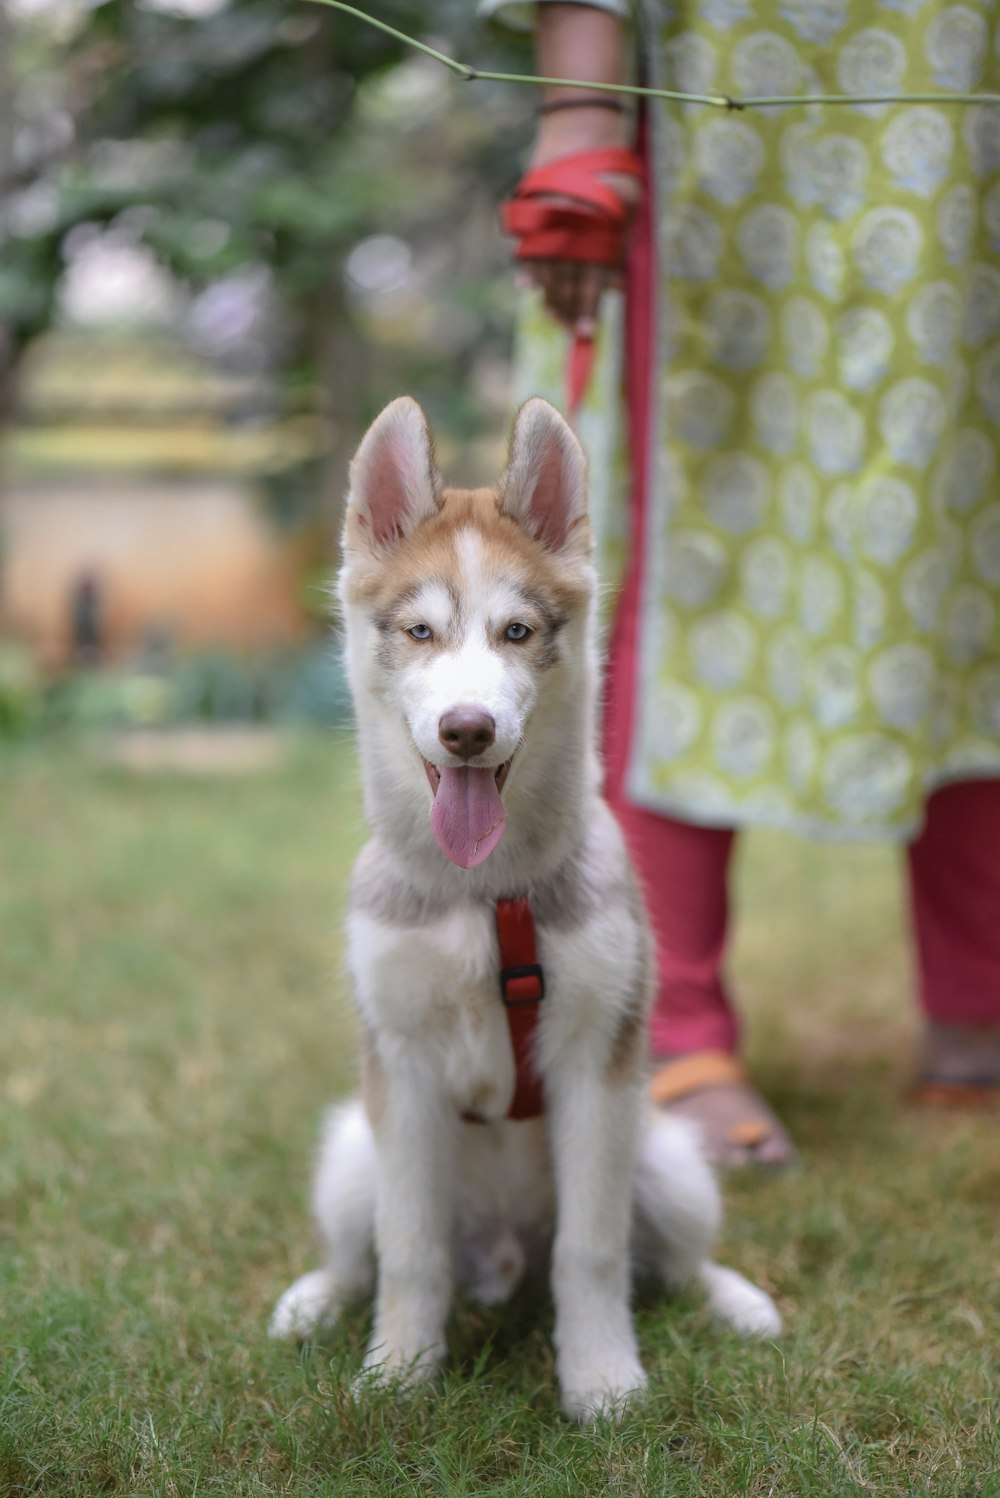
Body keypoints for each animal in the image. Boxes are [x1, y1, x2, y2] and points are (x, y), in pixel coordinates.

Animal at [270, 395, 778, 1414]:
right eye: (420, 632)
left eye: (515, 632)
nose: (468, 730)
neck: (485, 894)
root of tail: (503, 1262)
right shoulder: (403, 1070)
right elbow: (410, 1253)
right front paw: (398, 1376)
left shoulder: (596, 1063)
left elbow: (593, 1252)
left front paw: (602, 1382)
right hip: (350, 1152)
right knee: (361, 1255)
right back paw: (316, 1300)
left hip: (669, 1160)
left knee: (670, 1262)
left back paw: (736, 1301)